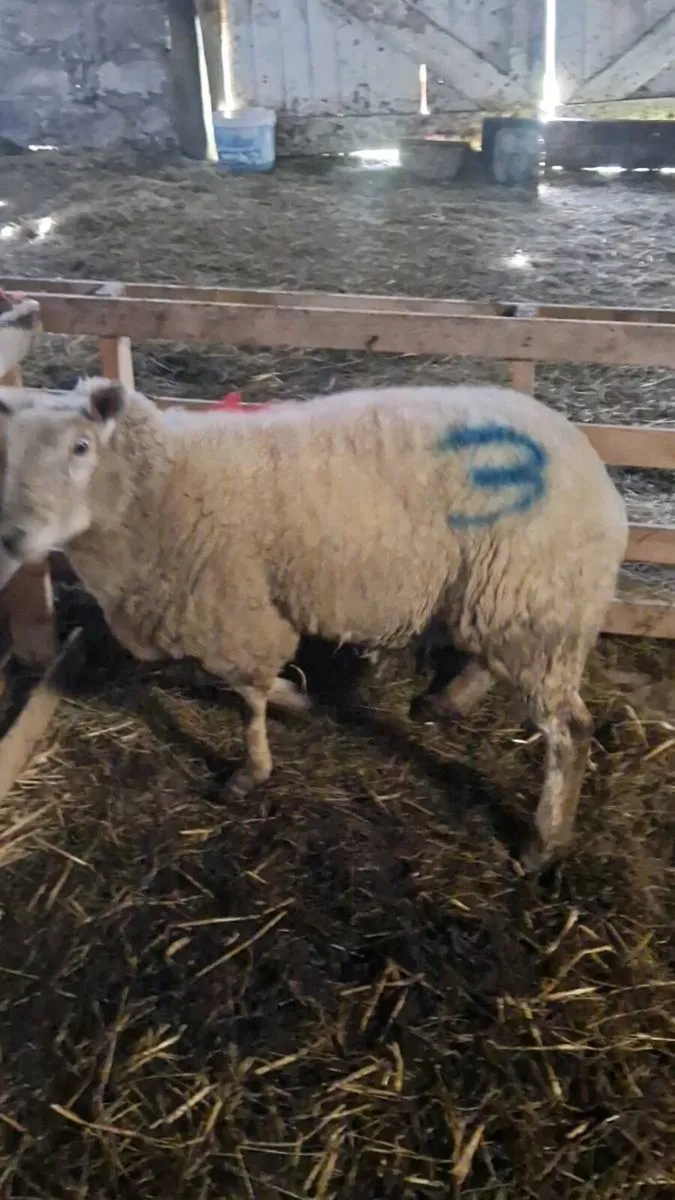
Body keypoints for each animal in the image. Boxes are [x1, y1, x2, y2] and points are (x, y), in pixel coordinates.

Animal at [0, 377, 628, 870]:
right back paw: (445, 702)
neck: (157, 486)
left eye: (81, 446)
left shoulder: (237, 610)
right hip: (505, 597)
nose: (13, 540)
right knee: (490, 662)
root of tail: (594, 471)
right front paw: (297, 702)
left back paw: (543, 841)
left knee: (569, 730)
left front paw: (252, 768)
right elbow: (222, 681)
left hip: (534, 596)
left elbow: (247, 698)